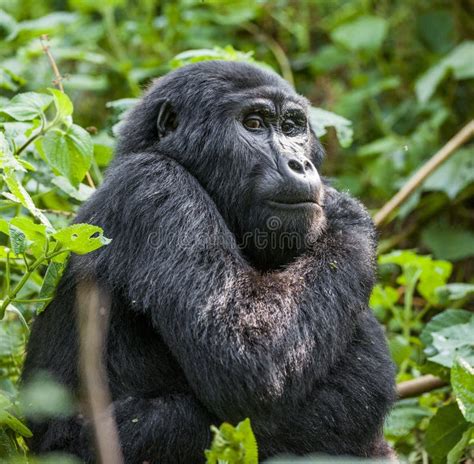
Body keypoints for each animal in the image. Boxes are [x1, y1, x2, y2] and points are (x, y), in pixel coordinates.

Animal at [22, 61, 396, 464]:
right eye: (253, 123)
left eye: (292, 127)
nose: (300, 163)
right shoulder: (157, 188)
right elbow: (247, 354)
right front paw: (347, 215)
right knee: (176, 420)